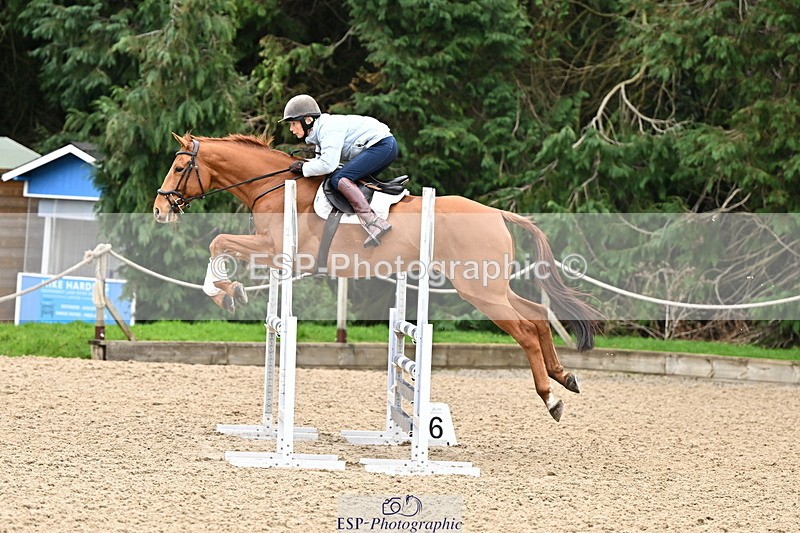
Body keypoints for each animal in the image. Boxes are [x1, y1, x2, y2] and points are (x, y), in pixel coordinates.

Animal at [153, 132, 598, 421]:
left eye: (179, 166)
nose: (159, 209)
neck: (274, 187)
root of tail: (497, 213)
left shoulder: (282, 253)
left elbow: (218, 243)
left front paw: (224, 292)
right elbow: (221, 245)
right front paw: (231, 291)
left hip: (479, 291)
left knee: (524, 331)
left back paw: (551, 399)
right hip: (491, 287)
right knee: (536, 316)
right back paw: (565, 376)